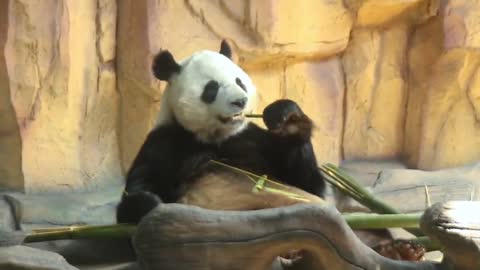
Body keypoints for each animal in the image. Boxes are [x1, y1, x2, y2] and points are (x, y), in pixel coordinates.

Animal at [116, 41, 326, 224]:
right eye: (212, 88)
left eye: (239, 81)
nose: (240, 101)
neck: (214, 137)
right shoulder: (163, 142)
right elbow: (138, 190)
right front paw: (149, 202)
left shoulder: (251, 139)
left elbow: (308, 185)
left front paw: (286, 117)